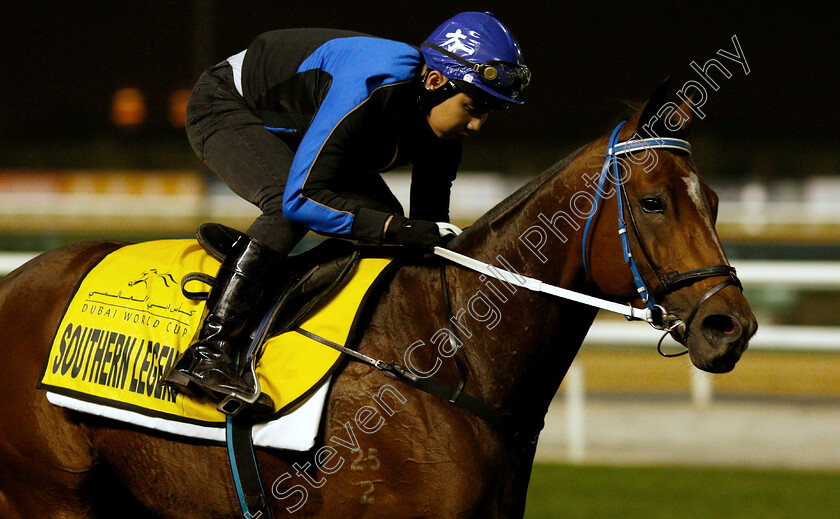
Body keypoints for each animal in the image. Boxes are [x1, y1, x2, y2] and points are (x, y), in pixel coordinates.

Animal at [0, 83, 756, 516]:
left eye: (716, 202)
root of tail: (15, 282)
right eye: (653, 202)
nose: (731, 326)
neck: (452, 354)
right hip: (52, 495)